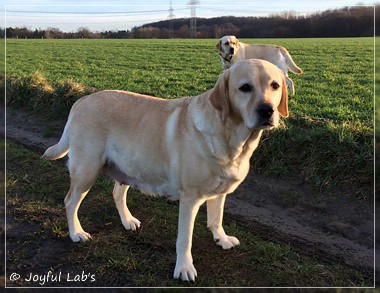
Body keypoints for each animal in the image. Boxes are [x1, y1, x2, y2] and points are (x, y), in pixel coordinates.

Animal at [42, 58, 288, 280]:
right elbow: (185, 239)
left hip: (128, 167)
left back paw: (127, 220)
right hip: (87, 170)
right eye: (245, 87)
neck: (231, 139)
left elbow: (216, 218)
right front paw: (184, 268)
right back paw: (77, 233)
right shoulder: (190, 198)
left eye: (275, 85)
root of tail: (81, 100)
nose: (267, 111)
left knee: (117, 193)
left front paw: (222, 238)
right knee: (70, 201)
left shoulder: (220, 192)